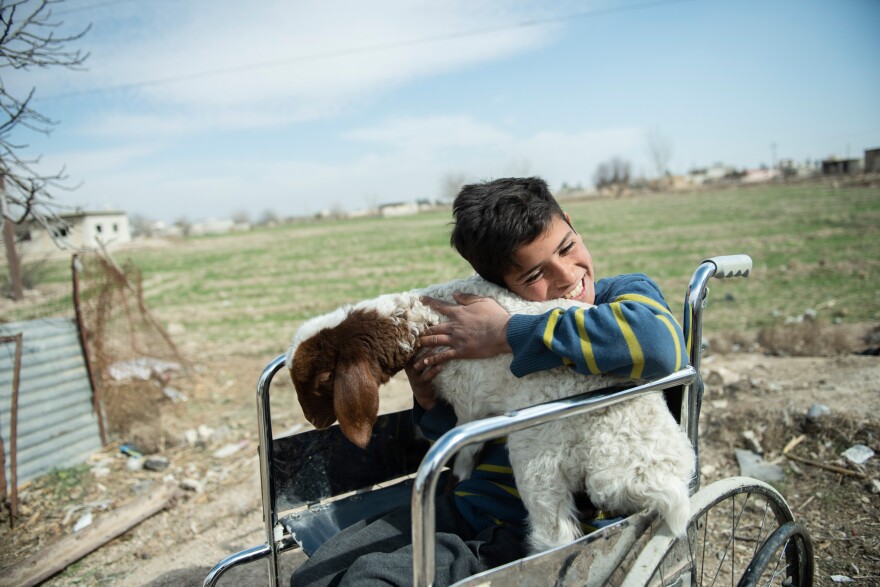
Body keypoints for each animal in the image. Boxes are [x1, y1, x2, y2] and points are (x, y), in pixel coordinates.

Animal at [288, 274, 696, 552]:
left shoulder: (469, 404)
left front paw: (455, 482)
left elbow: (463, 455)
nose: (313, 422)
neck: (423, 319)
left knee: (556, 534)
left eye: (322, 381)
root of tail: (651, 478)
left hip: (538, 458)